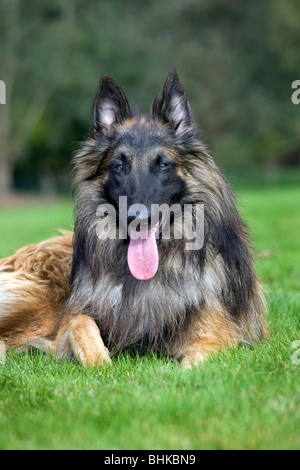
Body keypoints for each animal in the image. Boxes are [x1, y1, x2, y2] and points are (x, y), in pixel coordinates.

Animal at [0, 71, 268, 370]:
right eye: (118, 166)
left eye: (163, 165)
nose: (137, 219)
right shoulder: (66, 327)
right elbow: (81, 322)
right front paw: (101, 364)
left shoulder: (217, 339)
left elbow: (190, 366)